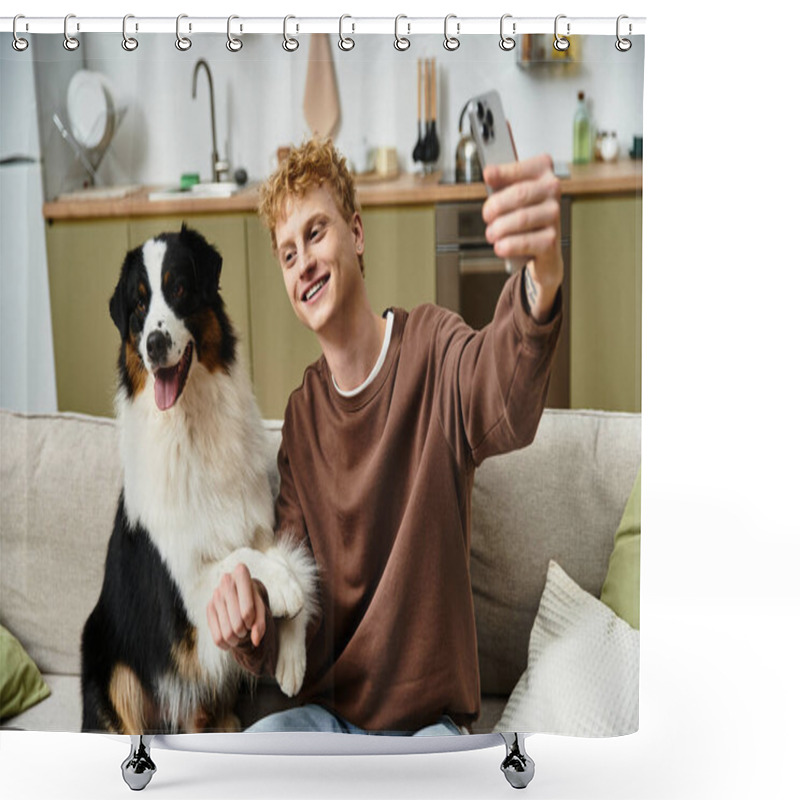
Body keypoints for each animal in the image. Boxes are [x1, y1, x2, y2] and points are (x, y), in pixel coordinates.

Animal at [82, 223, 316, 732]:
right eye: (138, 306)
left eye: (179, 289)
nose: (154, 345)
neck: (190, 422)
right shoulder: (186, 581)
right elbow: (242, 558)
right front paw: (285, 586)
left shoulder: (259, 525)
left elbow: (282, 555)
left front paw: (291, 655)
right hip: (110, 669)